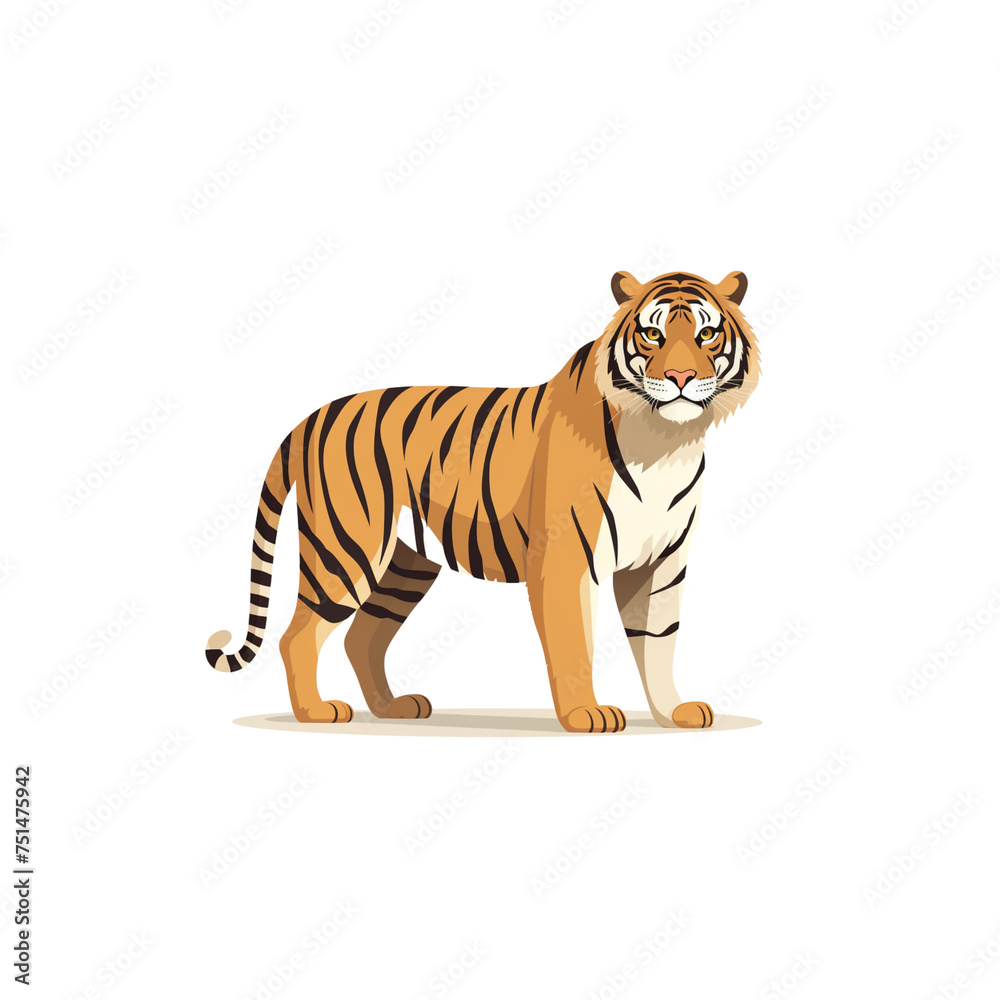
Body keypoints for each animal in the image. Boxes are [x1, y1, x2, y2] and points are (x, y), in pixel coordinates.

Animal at [206, 269, 760, 733]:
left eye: (706, 335)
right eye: (653, 335)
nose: (682, 378)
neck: (665, 441)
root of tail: (308, 419)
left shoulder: (662, 561)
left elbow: (659, 641)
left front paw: (674, 712)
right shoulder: (566, 557)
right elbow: (574, 641)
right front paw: (585, 714)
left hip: (405, 564)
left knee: (361, 636)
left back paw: (393, 708)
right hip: (347, 551)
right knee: (298, 635)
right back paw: (317, 712)